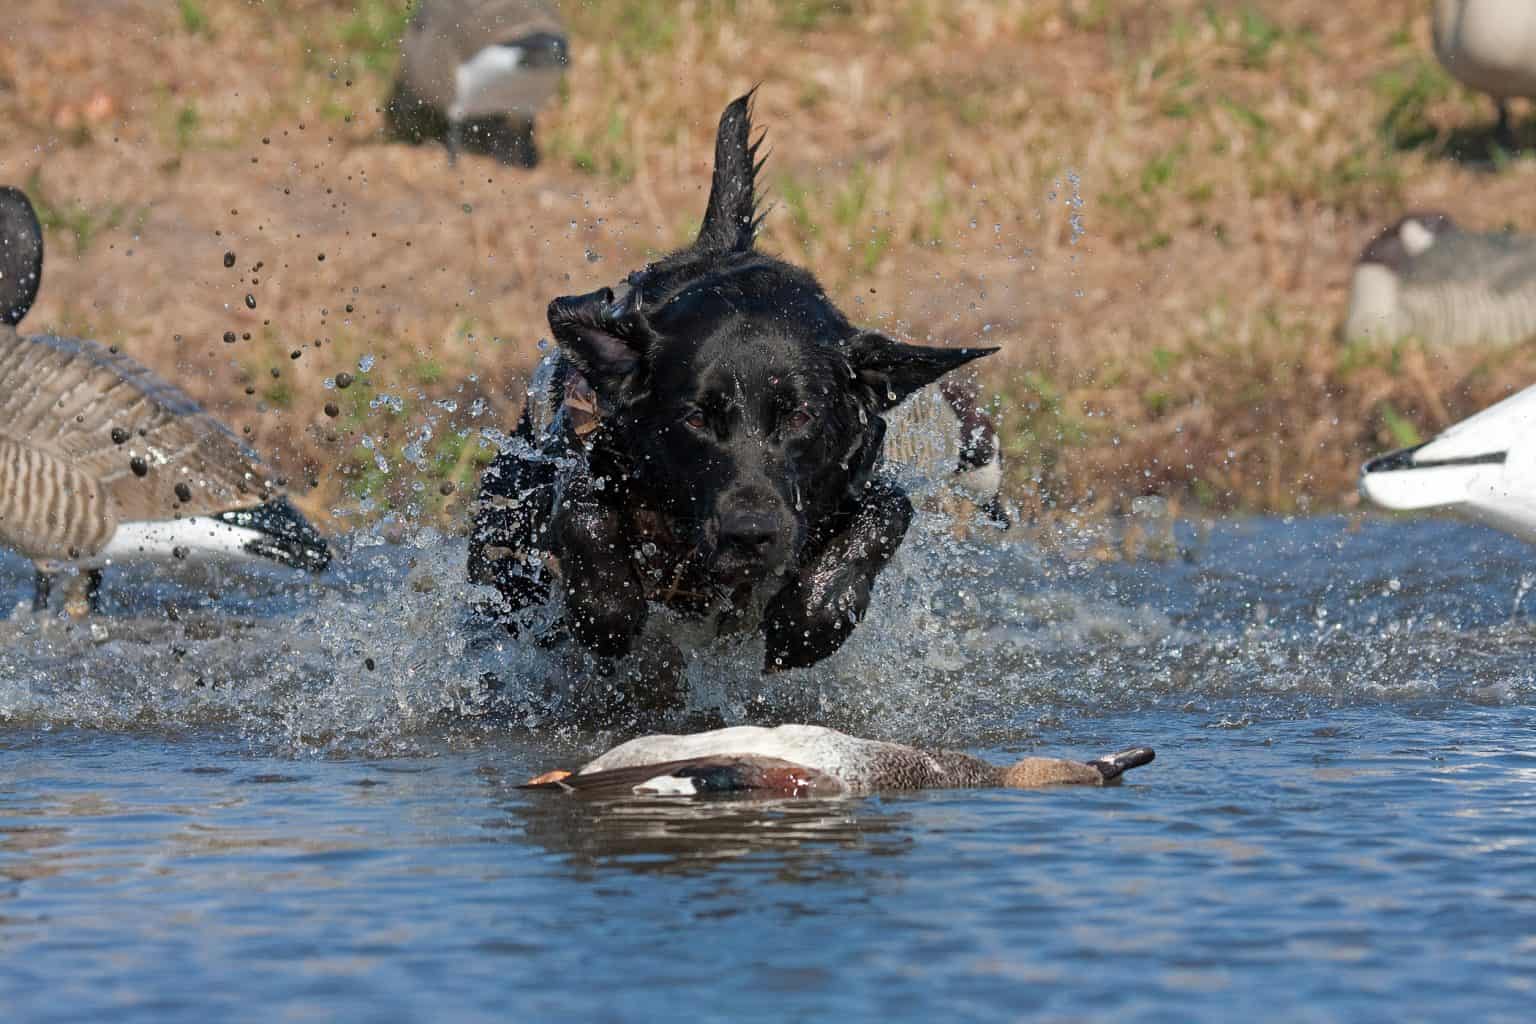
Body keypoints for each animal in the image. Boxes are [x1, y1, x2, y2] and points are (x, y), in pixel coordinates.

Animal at [468, 92, 997, 679]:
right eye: (696, 418)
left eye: (800, 416)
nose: (749, 533)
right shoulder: (586, 454)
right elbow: (581, 507)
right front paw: (605, 610)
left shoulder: (859, 478)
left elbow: (888, 512)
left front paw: (809, 621)